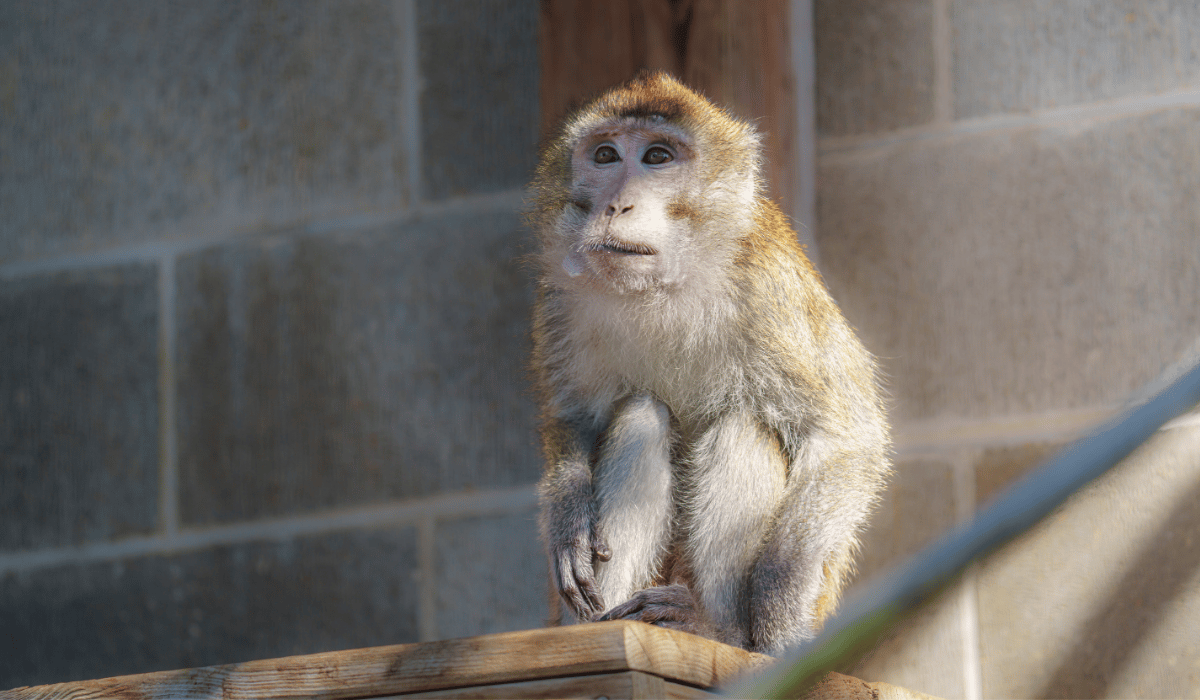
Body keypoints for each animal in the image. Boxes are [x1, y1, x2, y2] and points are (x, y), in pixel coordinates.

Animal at [527, 71, 890, 655]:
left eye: (657, 156)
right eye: (605, 155)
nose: (617, 206)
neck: (665, 286)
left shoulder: (769, 288)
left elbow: (848, 441)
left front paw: (779, 619)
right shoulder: (559, 296)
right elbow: (573, 417)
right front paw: (568, 515)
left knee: (745, 424)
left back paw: (721, 631)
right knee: (641, 416)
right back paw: (602, 624)